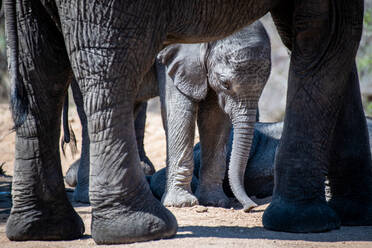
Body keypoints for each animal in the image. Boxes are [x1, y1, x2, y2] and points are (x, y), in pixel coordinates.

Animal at [158, 21, 270, 211]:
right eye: (225, 83)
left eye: (264, 85)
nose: (250, 207)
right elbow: (180, 110)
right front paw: (181, 204)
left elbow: (214, 118)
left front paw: (214, 202)